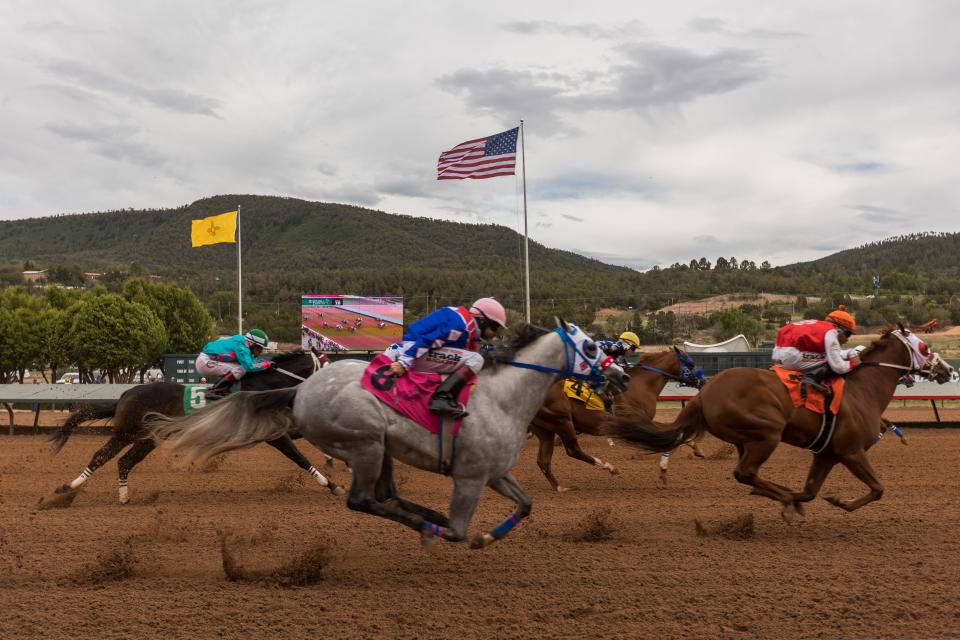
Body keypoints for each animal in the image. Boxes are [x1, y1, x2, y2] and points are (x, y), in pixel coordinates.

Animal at [50, 350, 344, 504]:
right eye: (325, 369)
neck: (263, 387)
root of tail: (127, 392)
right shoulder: (275, 434)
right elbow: (300, 457)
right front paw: (332, 485)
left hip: (148, 438)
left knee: (124, 461)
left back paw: (123, 495)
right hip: (127, 431)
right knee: (101, 456)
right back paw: (67, 488)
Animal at [148, 322, 632, 548]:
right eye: (592, 347)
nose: (623, 375)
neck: (503, 395)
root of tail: (302, 389)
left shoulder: (495, 473)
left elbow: (527, 504)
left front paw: (487, 536)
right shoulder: (471, 477)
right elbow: (458, 530)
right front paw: (452, 532)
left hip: (380, 449)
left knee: (385, 495)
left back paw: (424, 514)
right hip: (365, 444)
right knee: (363, 500)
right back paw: (422, 521)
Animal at [528, 344, 700, 490]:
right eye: (691, 363)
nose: (702, 380)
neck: (643, 385)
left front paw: (695, 447)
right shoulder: (635, 419)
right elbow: (669, 434)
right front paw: (663, 468)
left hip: (546, 430)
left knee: (543, 461)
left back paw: (559, 488)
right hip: (563, 421)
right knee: (573, 450)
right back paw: (609, 467)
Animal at [608, 328, 952, 524]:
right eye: (924, 347)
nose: (947, 370)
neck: (862, 390)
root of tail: (705, 392)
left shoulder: (827, 454)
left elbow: (810, 492)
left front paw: (805, 499)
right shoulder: (851, 451)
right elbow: (878, 489)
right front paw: (834, 500)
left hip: (746, 438)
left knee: (747, 474)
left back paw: (774, 494)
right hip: (767, 434)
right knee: (745, 472)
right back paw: (781, 498)